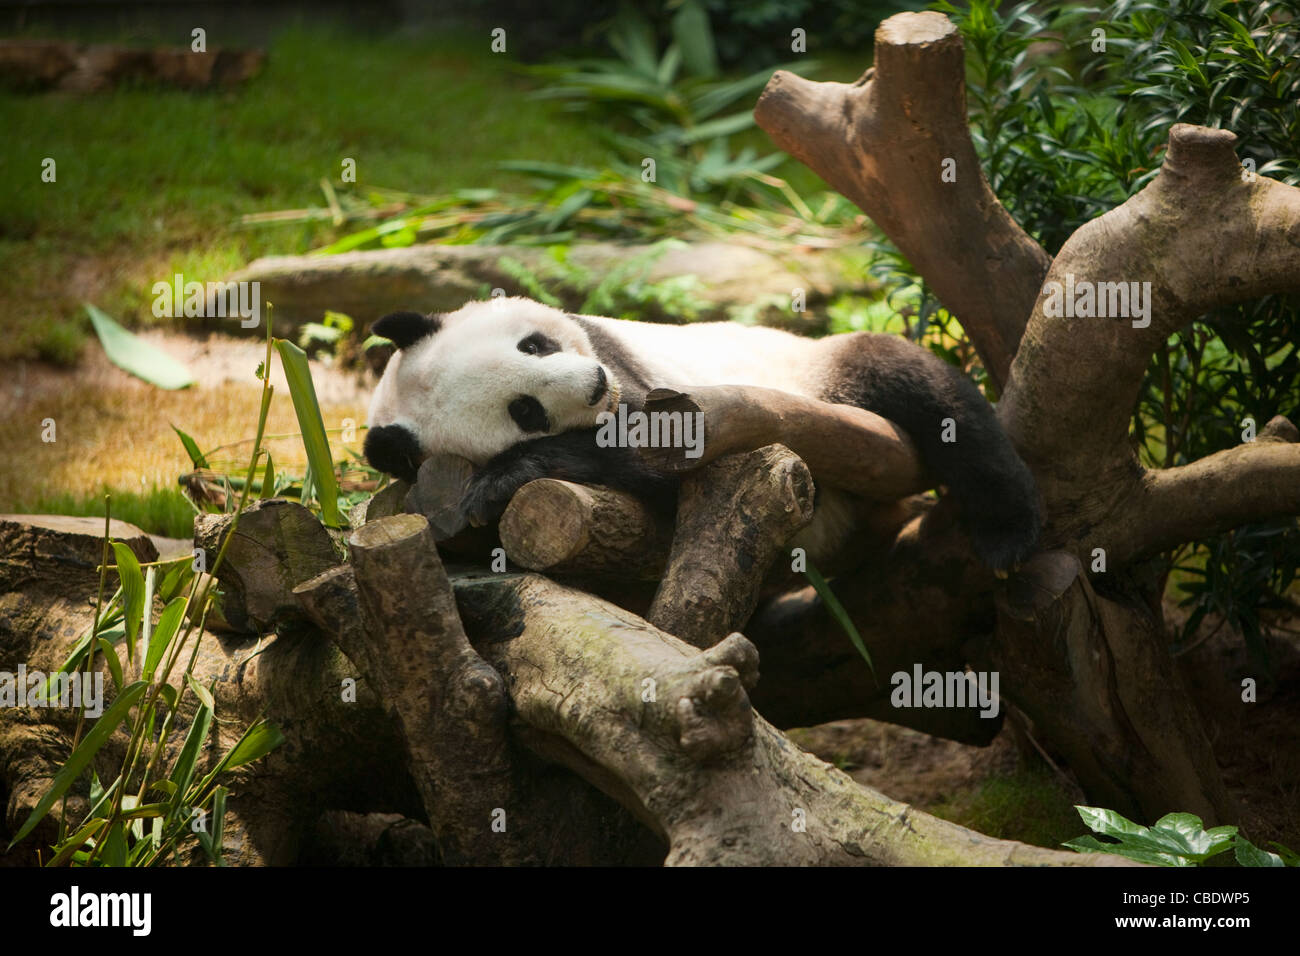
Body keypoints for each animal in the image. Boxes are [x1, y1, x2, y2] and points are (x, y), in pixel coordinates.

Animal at [361, 295, 1040, 572]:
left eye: (533, 345)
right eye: (522, 411)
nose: (592, 384)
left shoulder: (633, 368)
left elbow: (658, 449)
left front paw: (500, 483)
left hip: (816, 369)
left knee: (926, 390)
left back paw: (1007, 535)